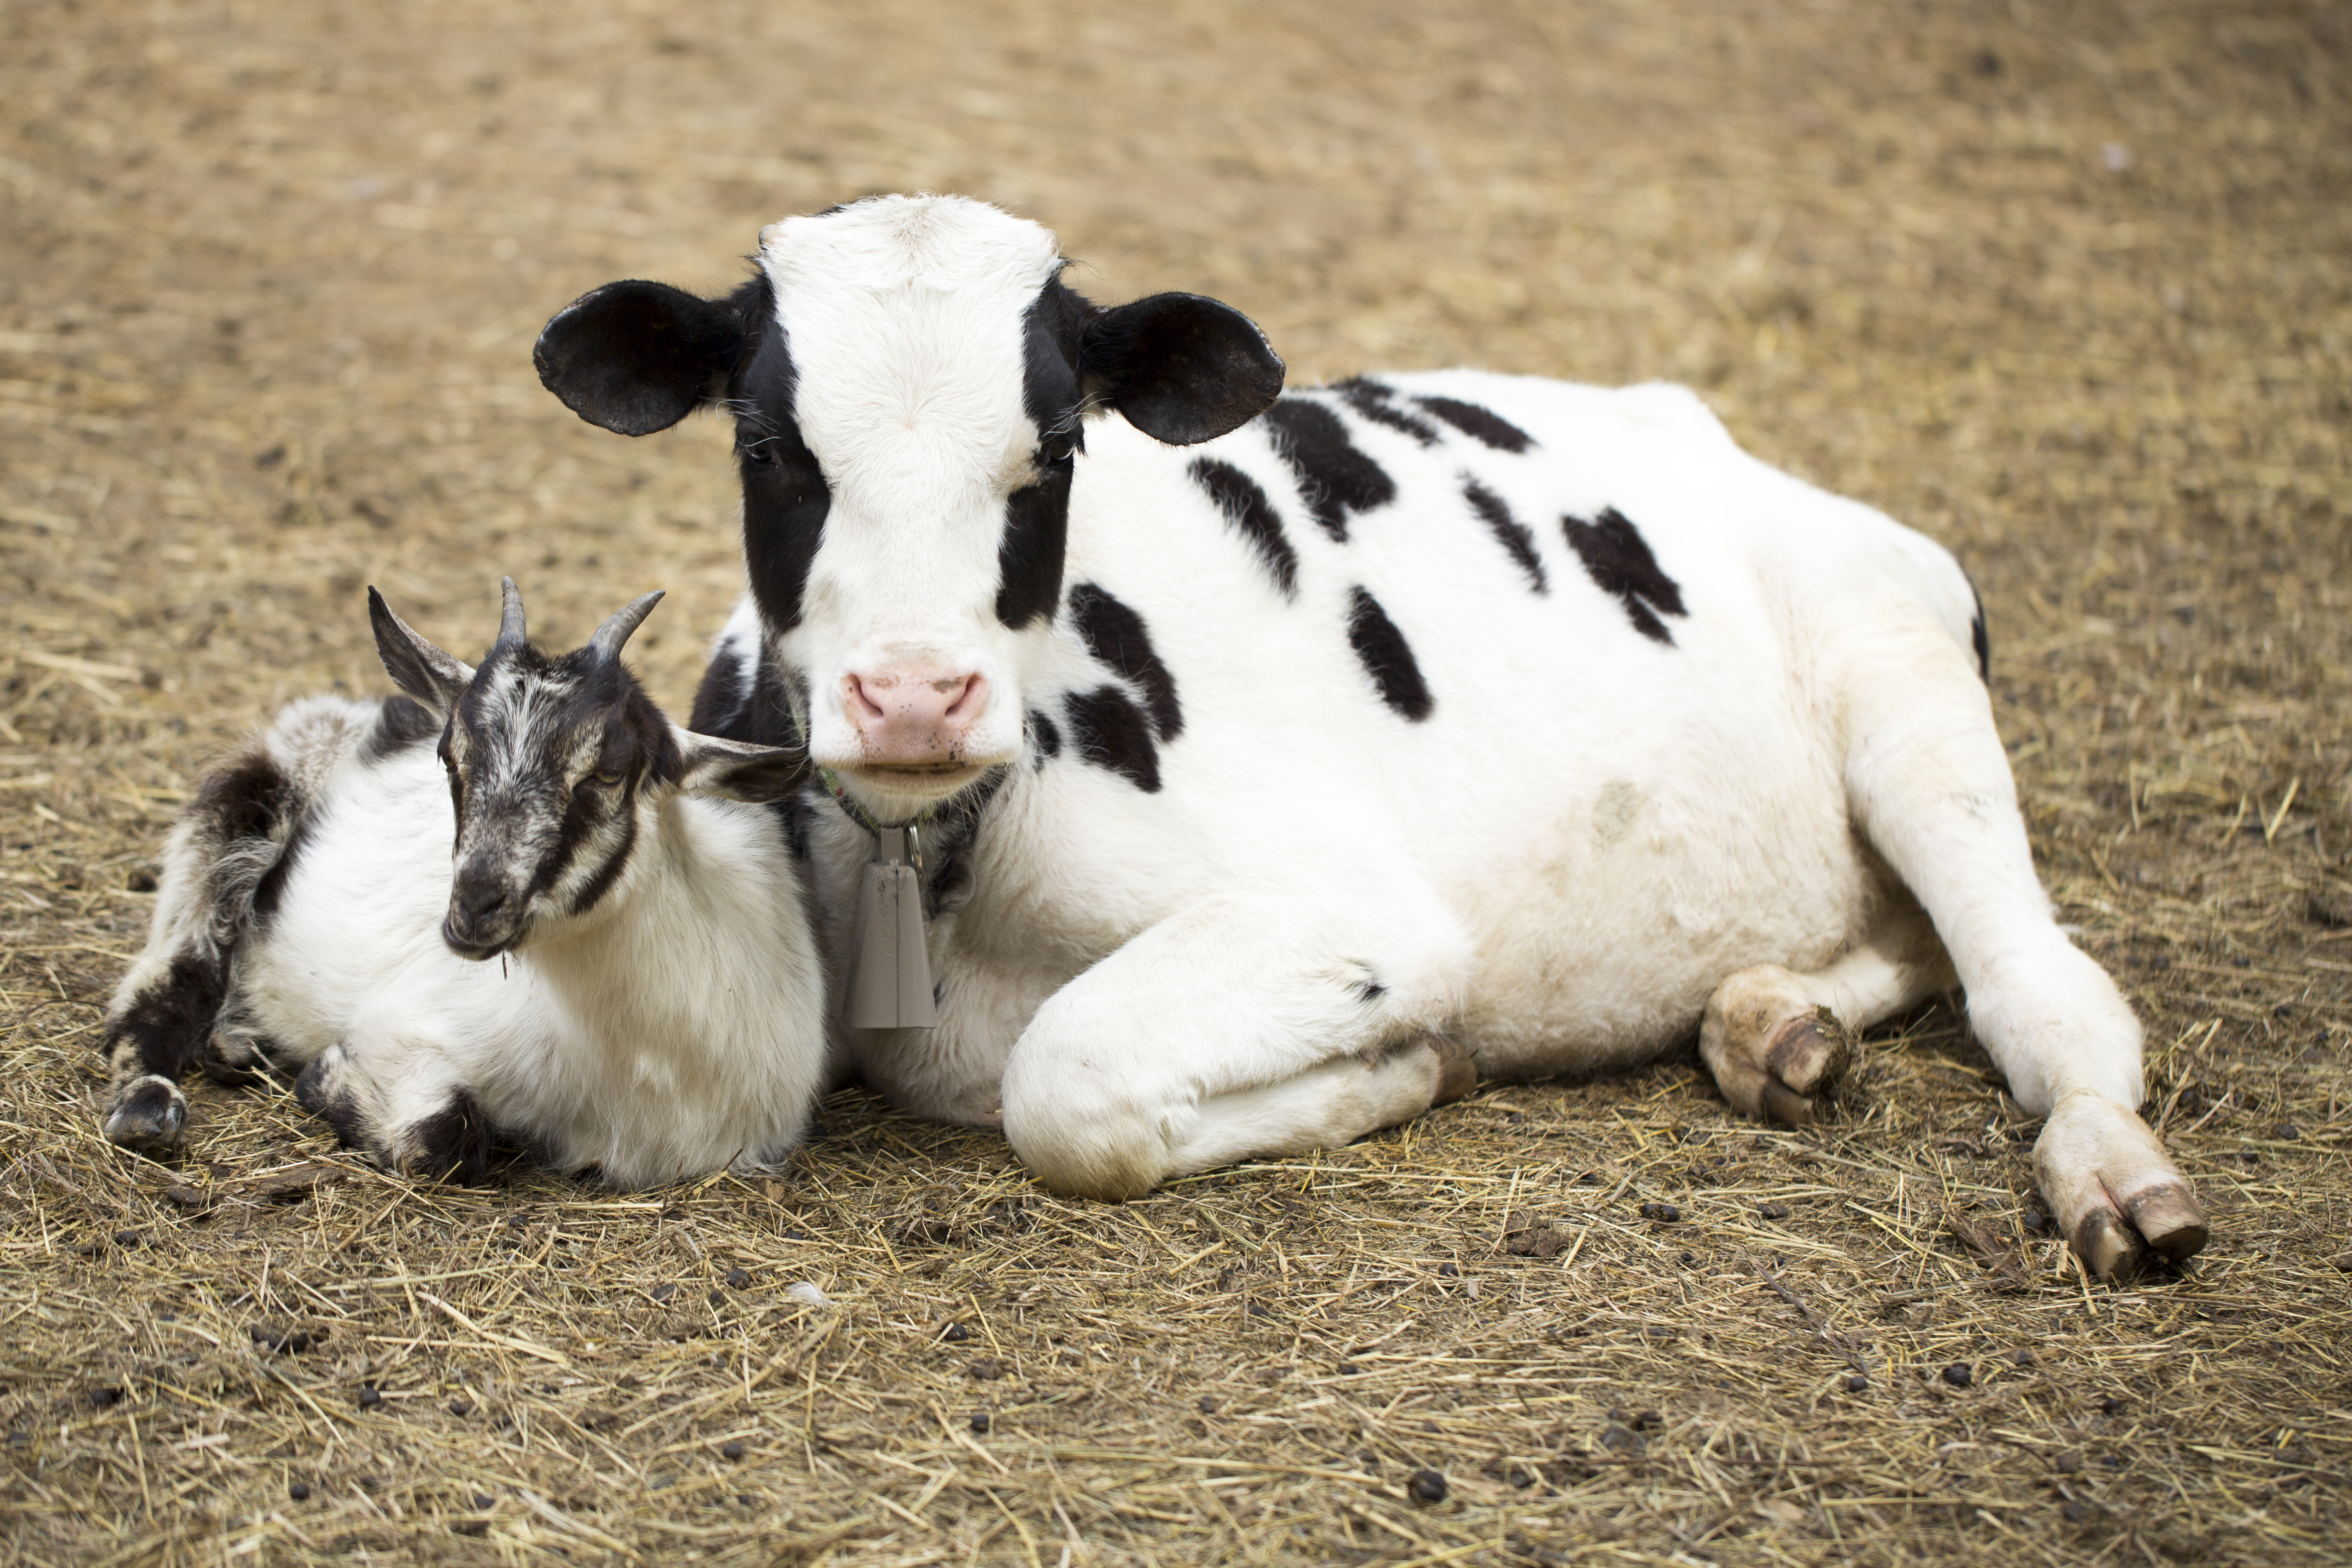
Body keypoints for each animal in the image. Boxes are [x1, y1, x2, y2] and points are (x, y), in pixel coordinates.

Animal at [103, 580, 837, 1189]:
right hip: (249, 794)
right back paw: (147, 1101)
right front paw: (325, 1076)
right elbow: (442, 1135)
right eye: (450, 757)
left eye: (609, 771)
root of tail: (374, 713)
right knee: (173, 967)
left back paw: (236, 1043)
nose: (474, 907)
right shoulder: (400, 1026)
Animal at [529, 196, 2201, 1279]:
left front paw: (1397, 1074)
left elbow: (1070, 1084)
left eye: (1056, 446)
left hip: (1896, 671)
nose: (916, 694)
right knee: (1904, 941)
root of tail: (1695, 428)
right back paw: (1772, 1026)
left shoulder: (1357, 915)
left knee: (2034, 982)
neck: (933, 888)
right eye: (766, 445)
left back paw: (2107, 1167)